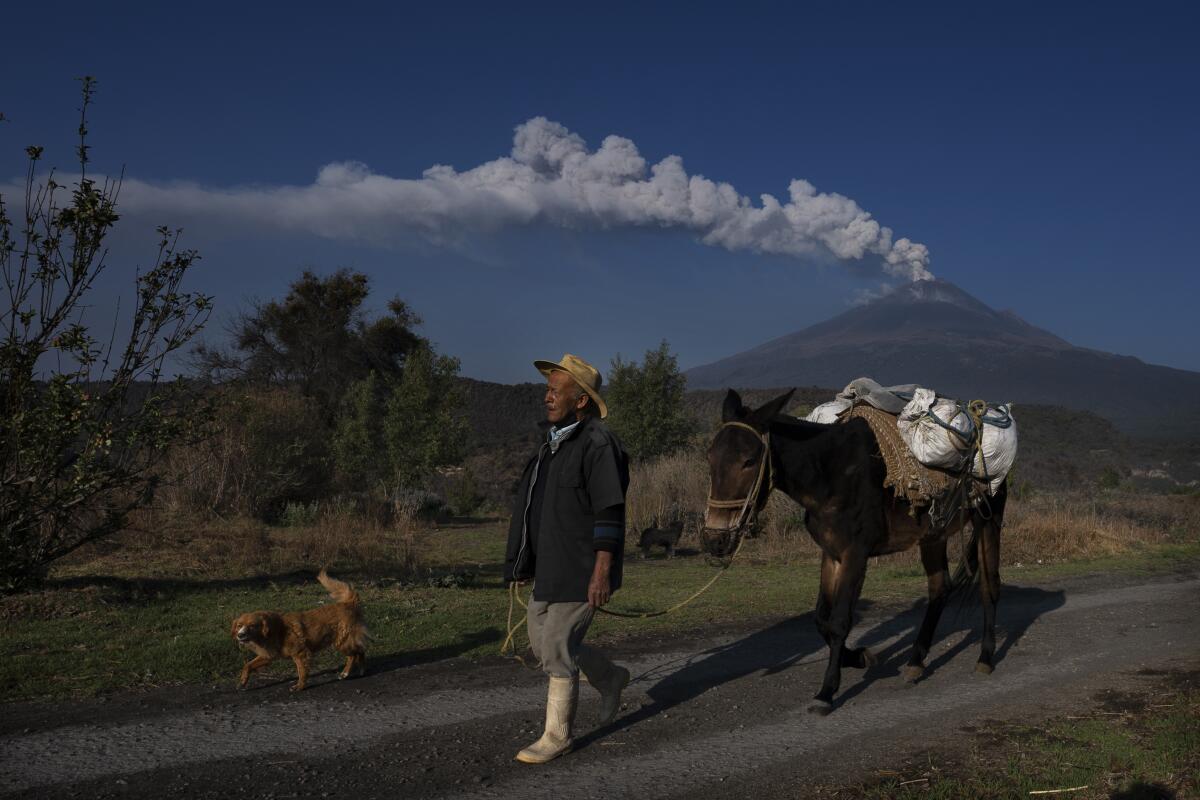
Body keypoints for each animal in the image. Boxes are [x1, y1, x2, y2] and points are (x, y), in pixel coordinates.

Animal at [229, 566, 364, 690]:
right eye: (239, 625)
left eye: (252, 626)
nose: (240, 635)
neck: (276, 630)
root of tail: (348, 603)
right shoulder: (267, 656)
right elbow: (248, 665)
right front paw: (242, 682)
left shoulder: (300, 653)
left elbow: (301, 671)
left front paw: (299, 686)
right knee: (359, 651)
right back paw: (358, 670)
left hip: (341, 643)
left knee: (355, 654)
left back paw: (347, 672)